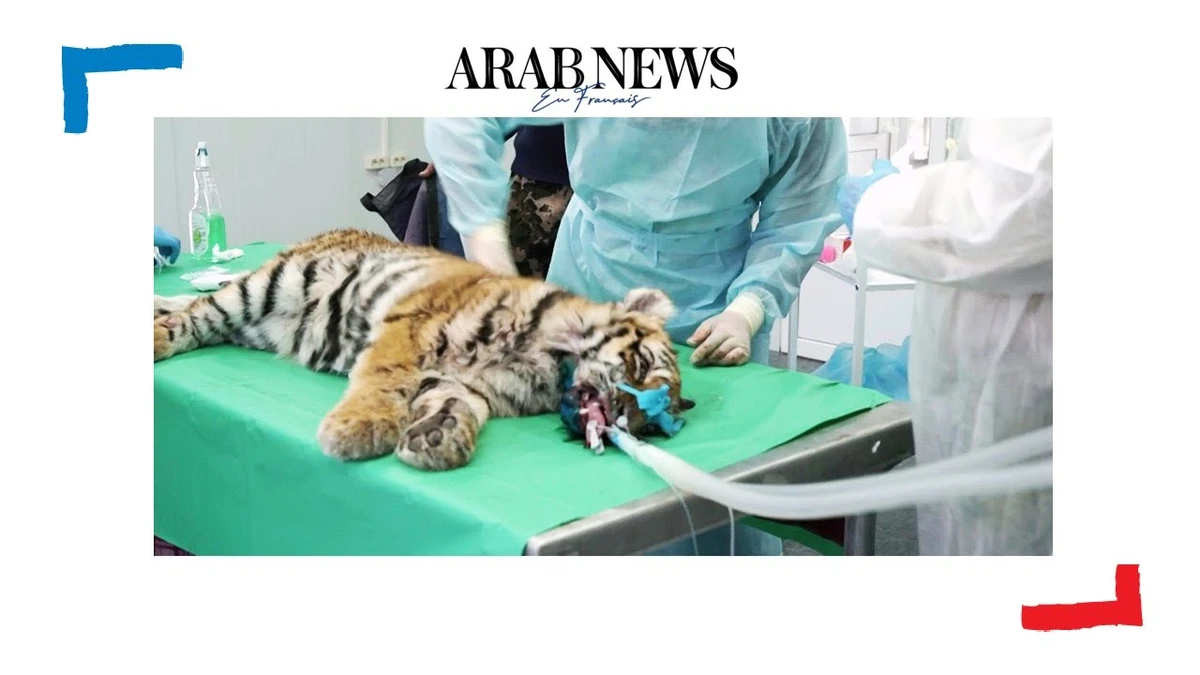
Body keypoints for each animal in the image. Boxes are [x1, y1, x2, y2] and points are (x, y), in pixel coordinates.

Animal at [153, 228, 695, 471]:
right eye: (640, 364)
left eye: (654, 424)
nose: (630, 419)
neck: (548, 366)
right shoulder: (410, 326)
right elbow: (383, 379)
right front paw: (361, 429)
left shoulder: (469, 385)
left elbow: (455, 405)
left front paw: (438, 436)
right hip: (270, 288)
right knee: (197, 314)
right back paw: (159, 335)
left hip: (259, 322)